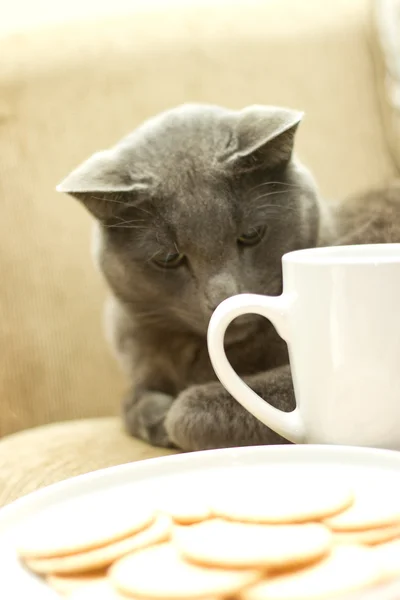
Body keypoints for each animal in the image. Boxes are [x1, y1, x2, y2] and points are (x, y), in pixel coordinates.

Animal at [57, 103, 400, 450]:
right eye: (169, 258)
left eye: (251, 234)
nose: (225, 297)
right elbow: (131, 400)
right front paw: (151, 413)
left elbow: (186, 411)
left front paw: (167, 418)